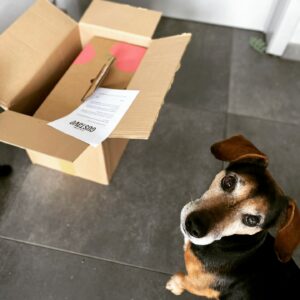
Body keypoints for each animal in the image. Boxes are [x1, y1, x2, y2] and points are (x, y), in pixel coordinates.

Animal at [166, 136, 300, 300]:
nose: (194, 226)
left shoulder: (203, 286)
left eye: (252, 220)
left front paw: (176, 284)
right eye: (228, 182)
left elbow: (187, 282)